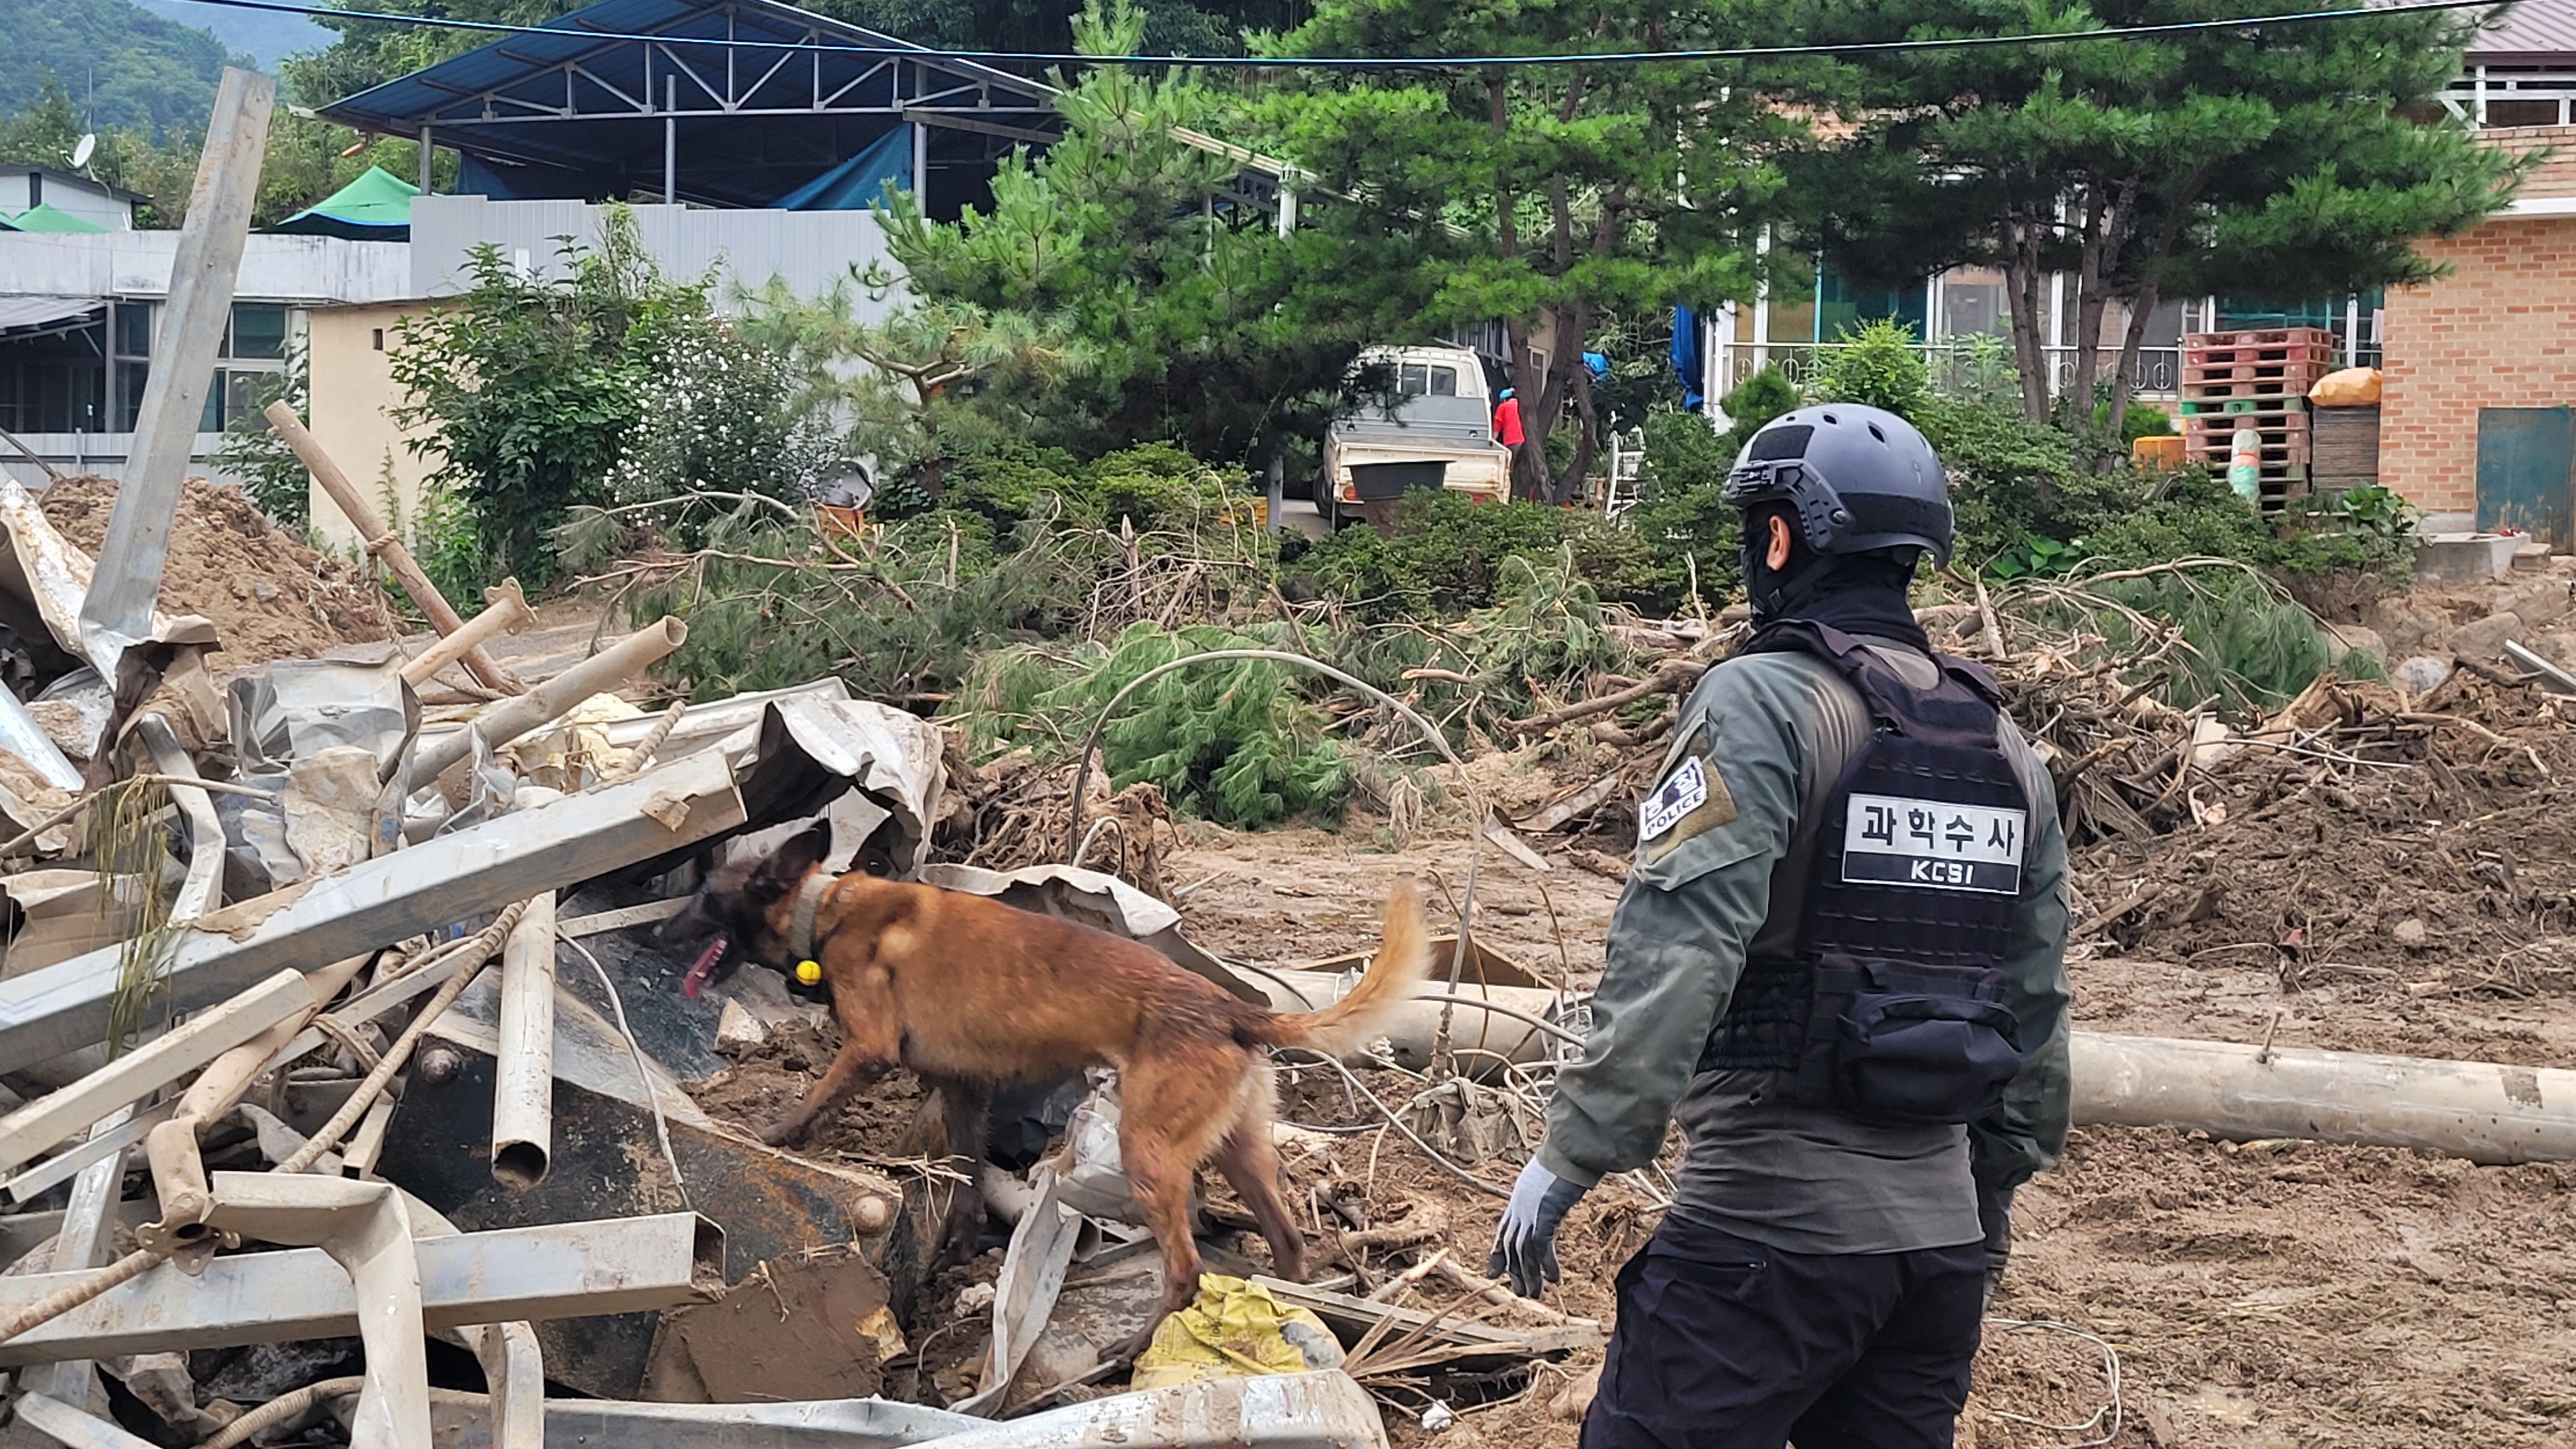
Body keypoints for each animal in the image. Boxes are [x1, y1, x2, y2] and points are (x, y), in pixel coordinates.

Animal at [664, 820, 1432, 1351]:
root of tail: (1234, 1009)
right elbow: (967, 1181)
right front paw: (958, 1258)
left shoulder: (869, 1051)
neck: (824, 907)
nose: (653, 934)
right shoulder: (965, 1090)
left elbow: (817, 1099)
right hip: (1238, 1152)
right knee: (1289, 1244)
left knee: (1185, 1269)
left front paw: (773, 1133)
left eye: (703, 898)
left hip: (1148, 1153)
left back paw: (1134, 1347)